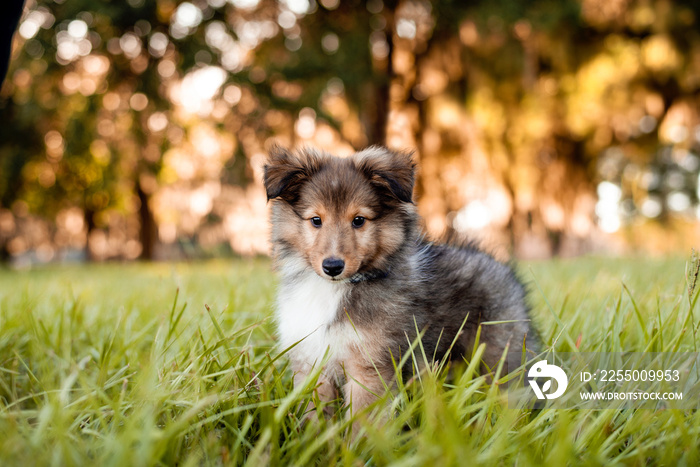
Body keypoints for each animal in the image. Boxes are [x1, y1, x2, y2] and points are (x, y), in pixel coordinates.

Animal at [266, 145, 540, 420]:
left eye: (358, 220)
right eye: (316, 220)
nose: (332, 266)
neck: (334, 289)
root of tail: (503, 270)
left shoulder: (371, 365)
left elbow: (362, 419)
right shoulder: (311, 361)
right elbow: (316, 415)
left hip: (500, 353)